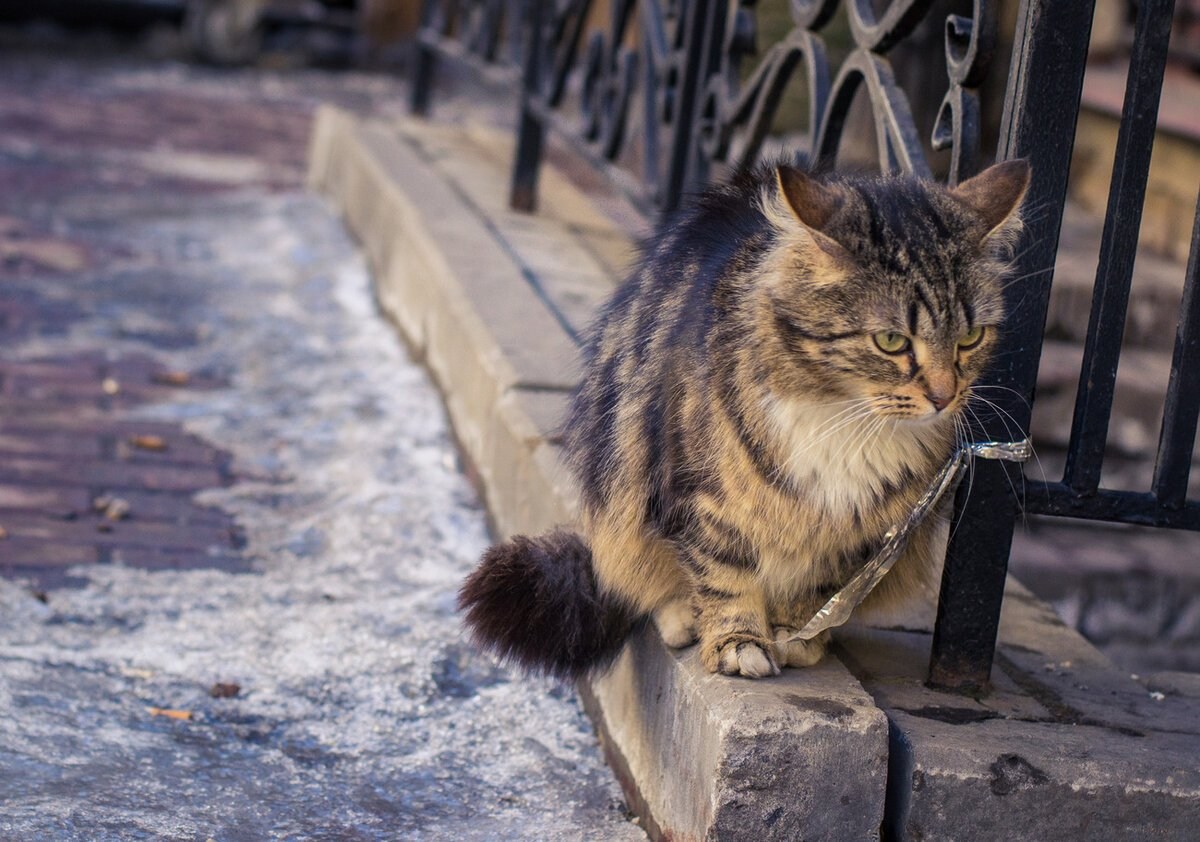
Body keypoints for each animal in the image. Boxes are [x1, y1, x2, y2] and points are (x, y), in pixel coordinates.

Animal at [453, 159, 1027, 681]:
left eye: (970, 338)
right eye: (891, 341)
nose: (944, 396)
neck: (845, 418)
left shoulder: (861, 533)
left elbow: (818, 590)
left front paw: (795, 636)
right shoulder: (702, 500)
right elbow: (724, 575)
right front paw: (738, 644)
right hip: (620, 496)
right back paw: (685, 618)